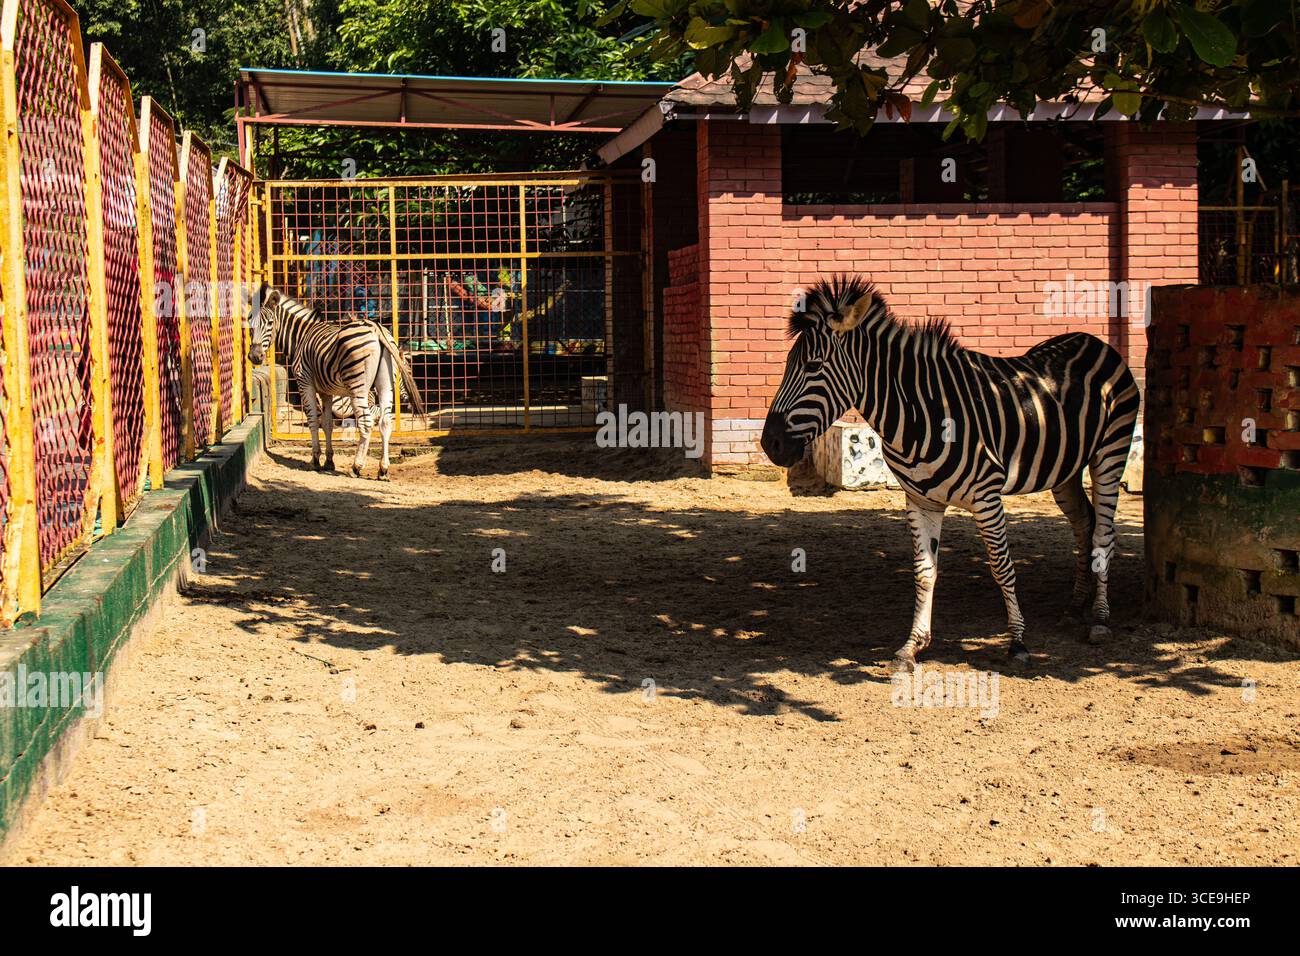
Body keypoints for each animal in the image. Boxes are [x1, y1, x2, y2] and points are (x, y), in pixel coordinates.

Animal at [247, 286, 426, 480]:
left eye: (270, 322)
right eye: (249, 322)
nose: (254, 356)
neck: (302, 337)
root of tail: (376, 328)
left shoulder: (305, 383)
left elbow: (313, 420)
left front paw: (315, 460)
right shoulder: (326, 391)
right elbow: (327, 424)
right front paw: (329, 461)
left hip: (357, 386)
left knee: (366, 422)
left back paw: (356, 466)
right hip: (385, 385)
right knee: (385, 422)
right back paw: (383, 469)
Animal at [761, 275, 1139, 667]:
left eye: (813, 366)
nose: (769, 443)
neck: (916, 415)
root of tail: (1091, 339)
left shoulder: (987, 498)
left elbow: (1001, 566)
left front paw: (1018, 642)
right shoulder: (920, 501)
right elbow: (924, 572)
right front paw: (913, 645)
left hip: (1110, 453)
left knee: (1103, 534)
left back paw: (1099, 618)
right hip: (1064, 470)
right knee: (1084, 525)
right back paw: (1077, 604)